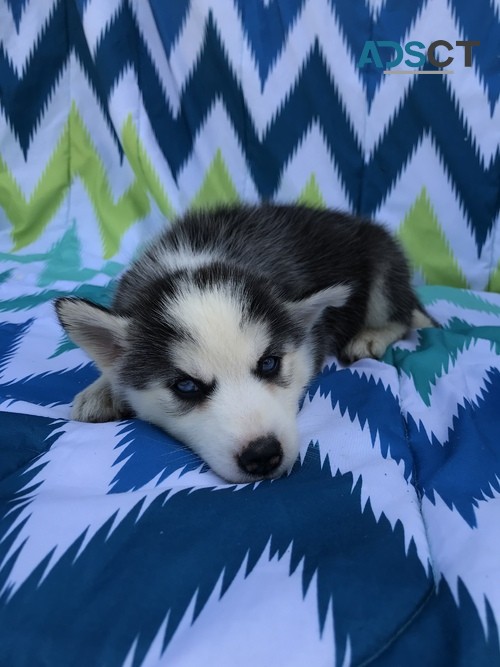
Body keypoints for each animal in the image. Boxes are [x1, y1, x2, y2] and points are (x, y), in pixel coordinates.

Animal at [56, 204, 436, 480]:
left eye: (269, 363)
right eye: (186, 386)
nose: (263, 455)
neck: (197, 260)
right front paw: (102, 389)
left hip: (382, 264)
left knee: (400, 315)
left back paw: (371, 335)